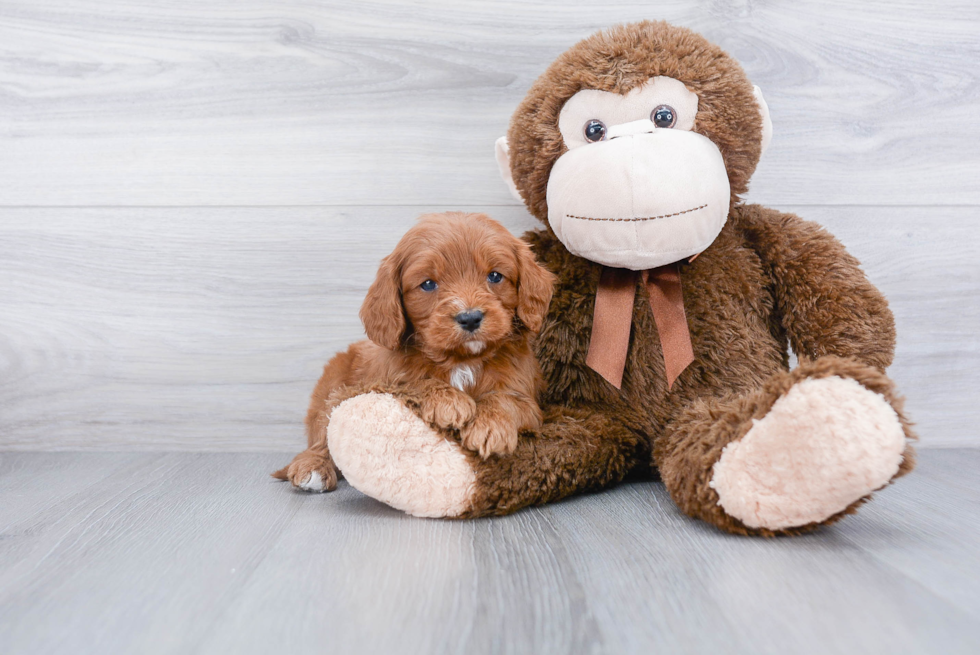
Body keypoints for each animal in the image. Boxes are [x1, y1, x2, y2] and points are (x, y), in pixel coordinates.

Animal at [272, 213, 556, 494]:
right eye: (428, 284)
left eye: (495, 276)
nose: (470, 318)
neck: (461, 360)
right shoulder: (385, 380)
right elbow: (413, 381)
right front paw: (448, 402)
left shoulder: (527, 398)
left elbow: (506, 400)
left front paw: (490, 426)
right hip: (330, 390)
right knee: (321, 434)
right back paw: (313, 468)